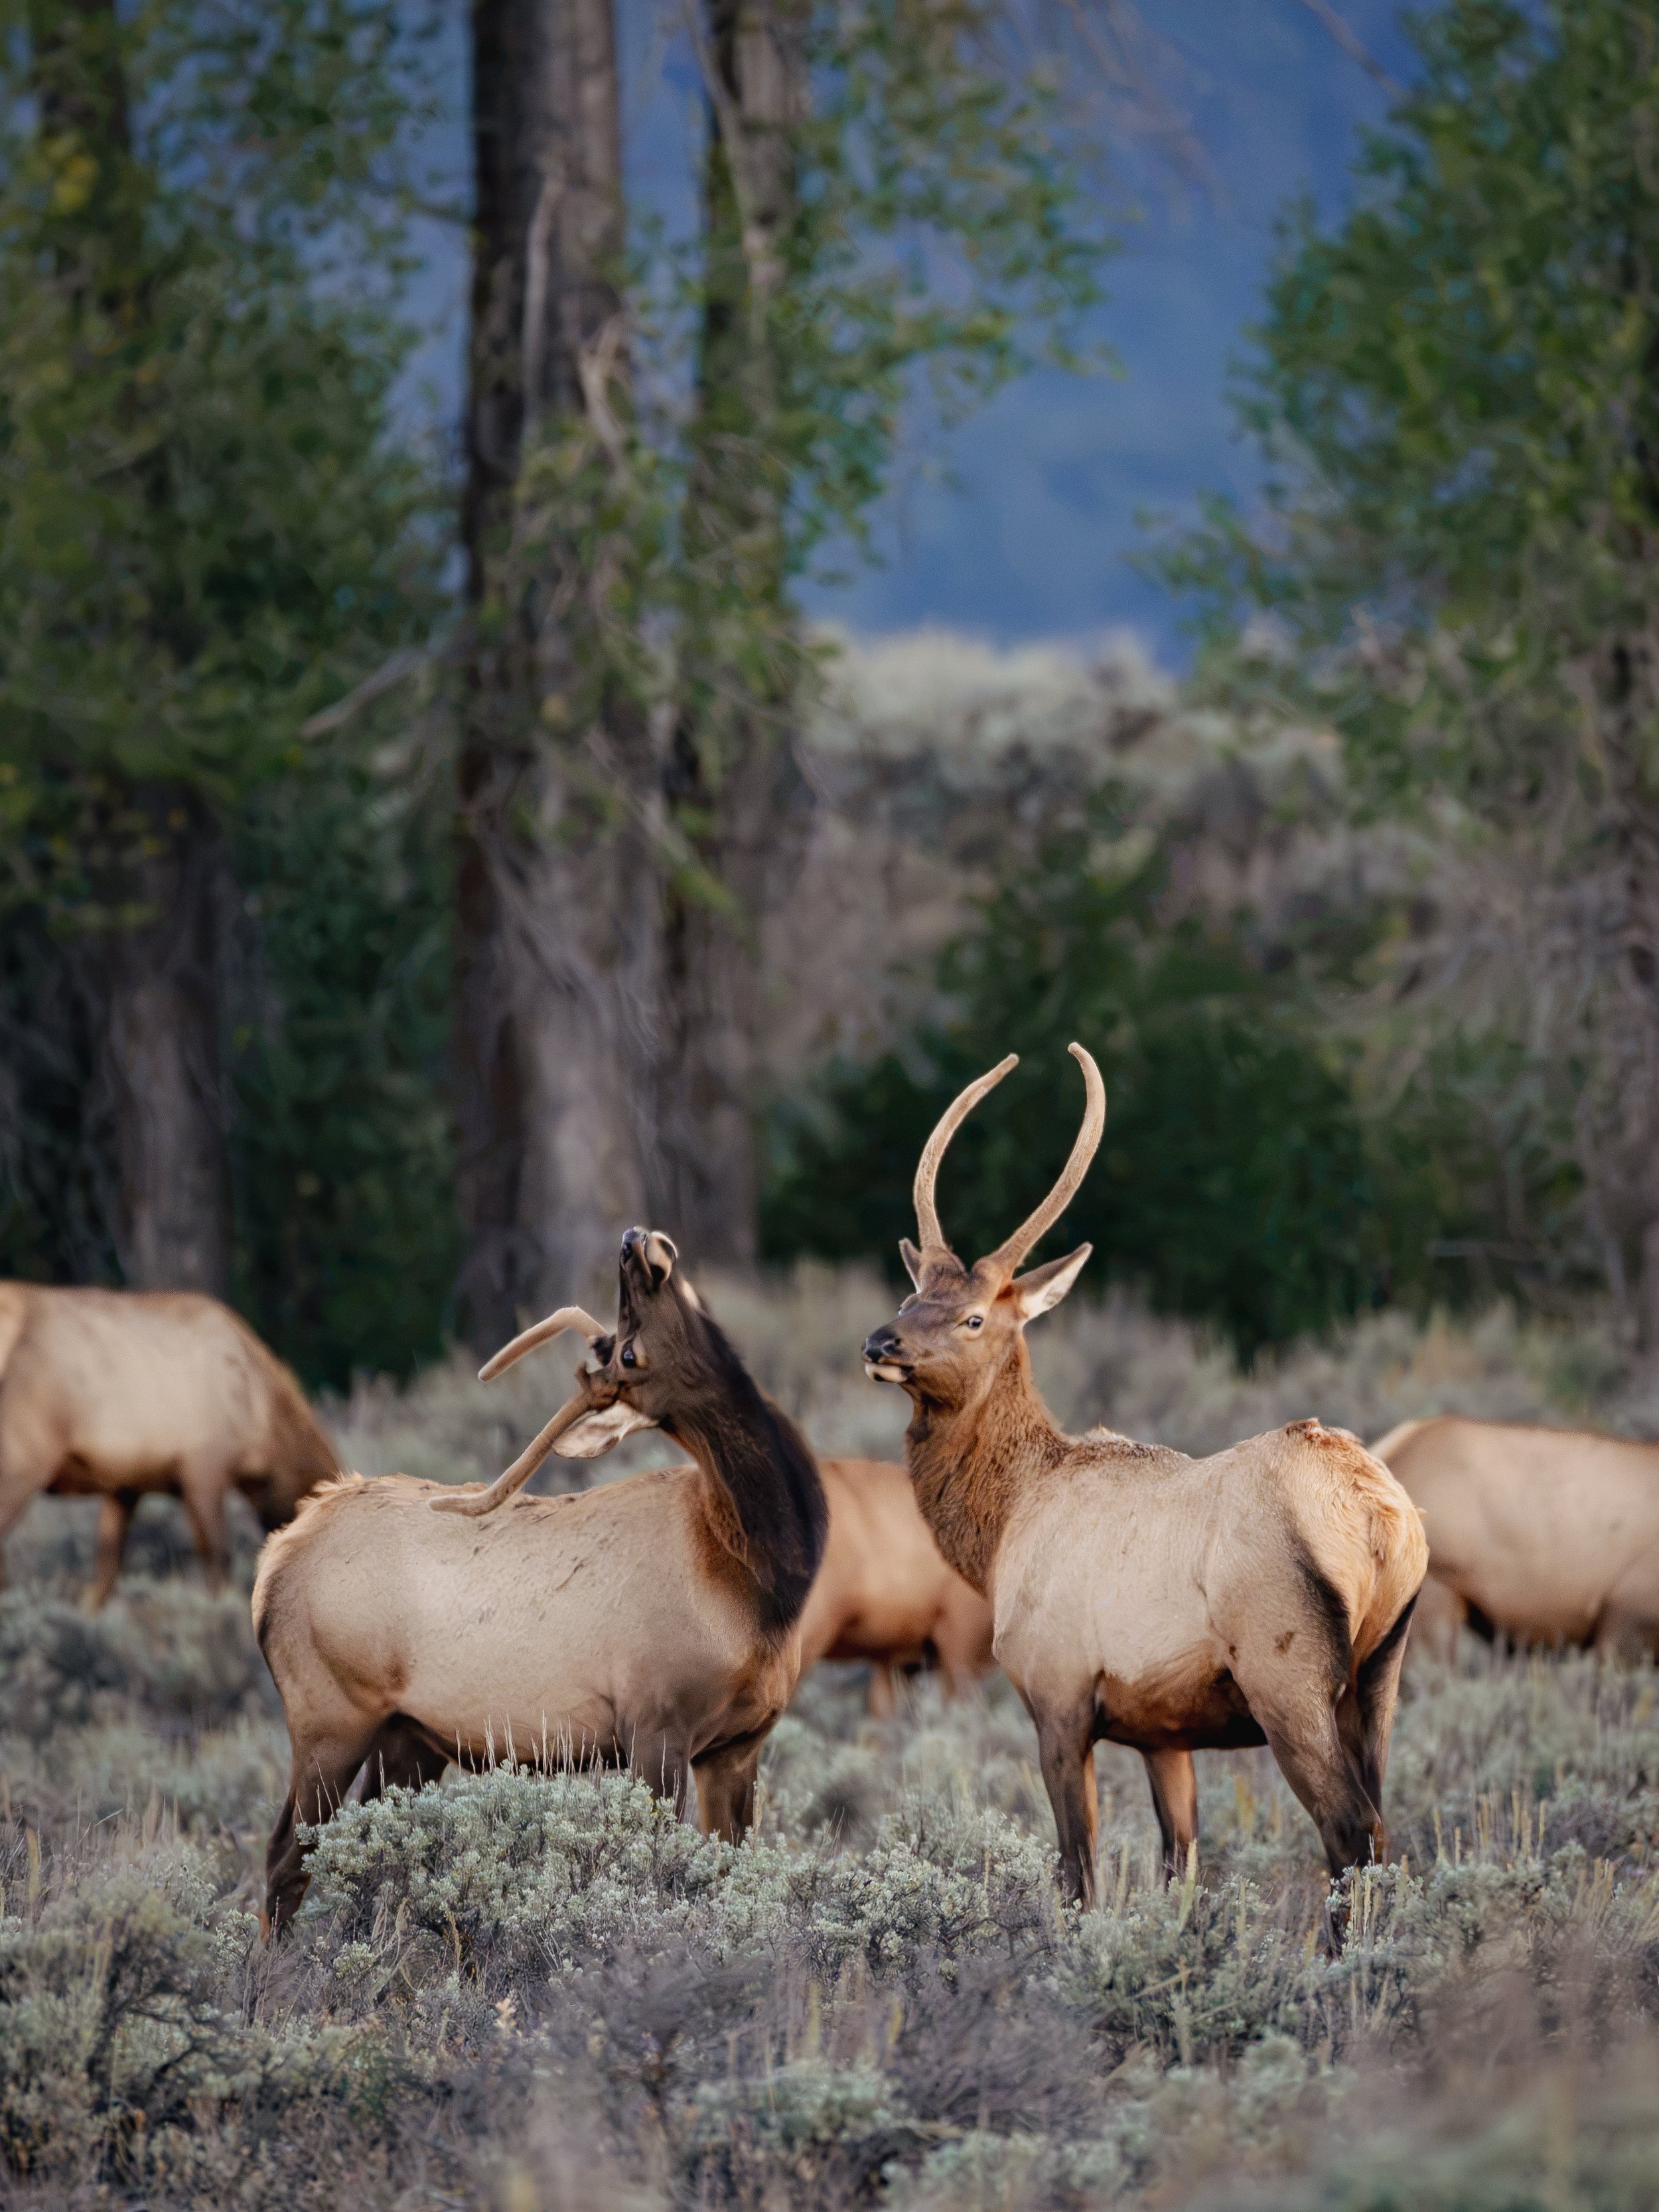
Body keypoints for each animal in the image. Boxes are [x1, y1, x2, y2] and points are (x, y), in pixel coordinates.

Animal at [253, 1227, 828, 1934]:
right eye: (626, 1349)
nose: (632, 1240)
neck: (761, 1589)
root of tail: (274, 1559)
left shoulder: (739, 1743)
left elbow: (727, 1878)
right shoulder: (655, 1721)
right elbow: (661, 1880)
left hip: (407, 1736)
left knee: (363, 1851)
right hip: (329, 1717)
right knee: (287, 1855)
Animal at [860, 1045, 1428, 1905]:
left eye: (973, 1317)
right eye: (908, 1293)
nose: (879, 1344)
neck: (1002, 1530)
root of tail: (1379, 1519)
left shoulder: (1057, 1694)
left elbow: (1077, 1869)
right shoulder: (1165, 1731)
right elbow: (1178, 1864)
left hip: (1287, 1672)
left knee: (1349, 1828)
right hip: (1382, 1670)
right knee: (1383, 1830)